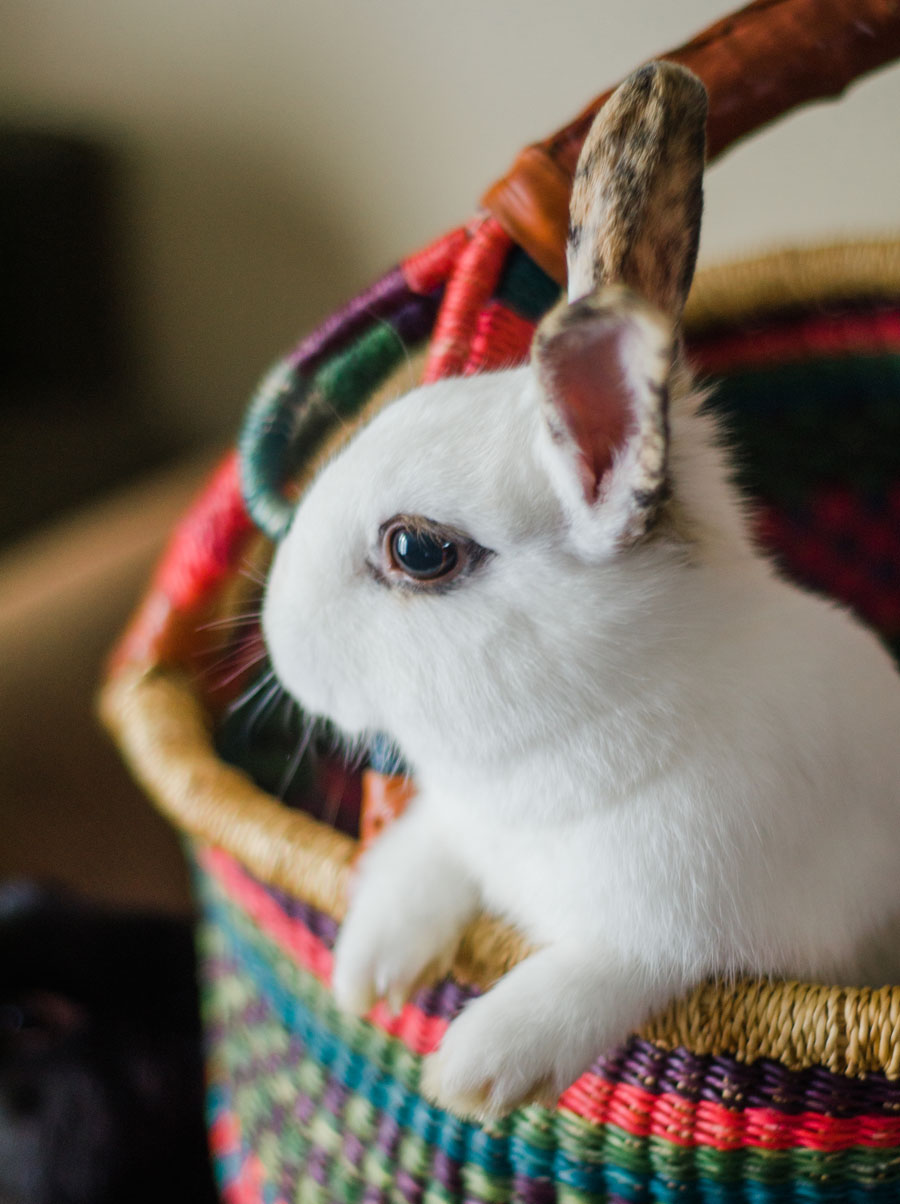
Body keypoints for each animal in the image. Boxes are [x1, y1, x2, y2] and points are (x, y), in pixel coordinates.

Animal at [262, 61, 900, 1120]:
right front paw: (370, 966)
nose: (277, 641)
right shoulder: (461, 820)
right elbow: (424, 854)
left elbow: (608, 972)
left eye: (418, 551)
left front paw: (477, 1071)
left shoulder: (680, 929)